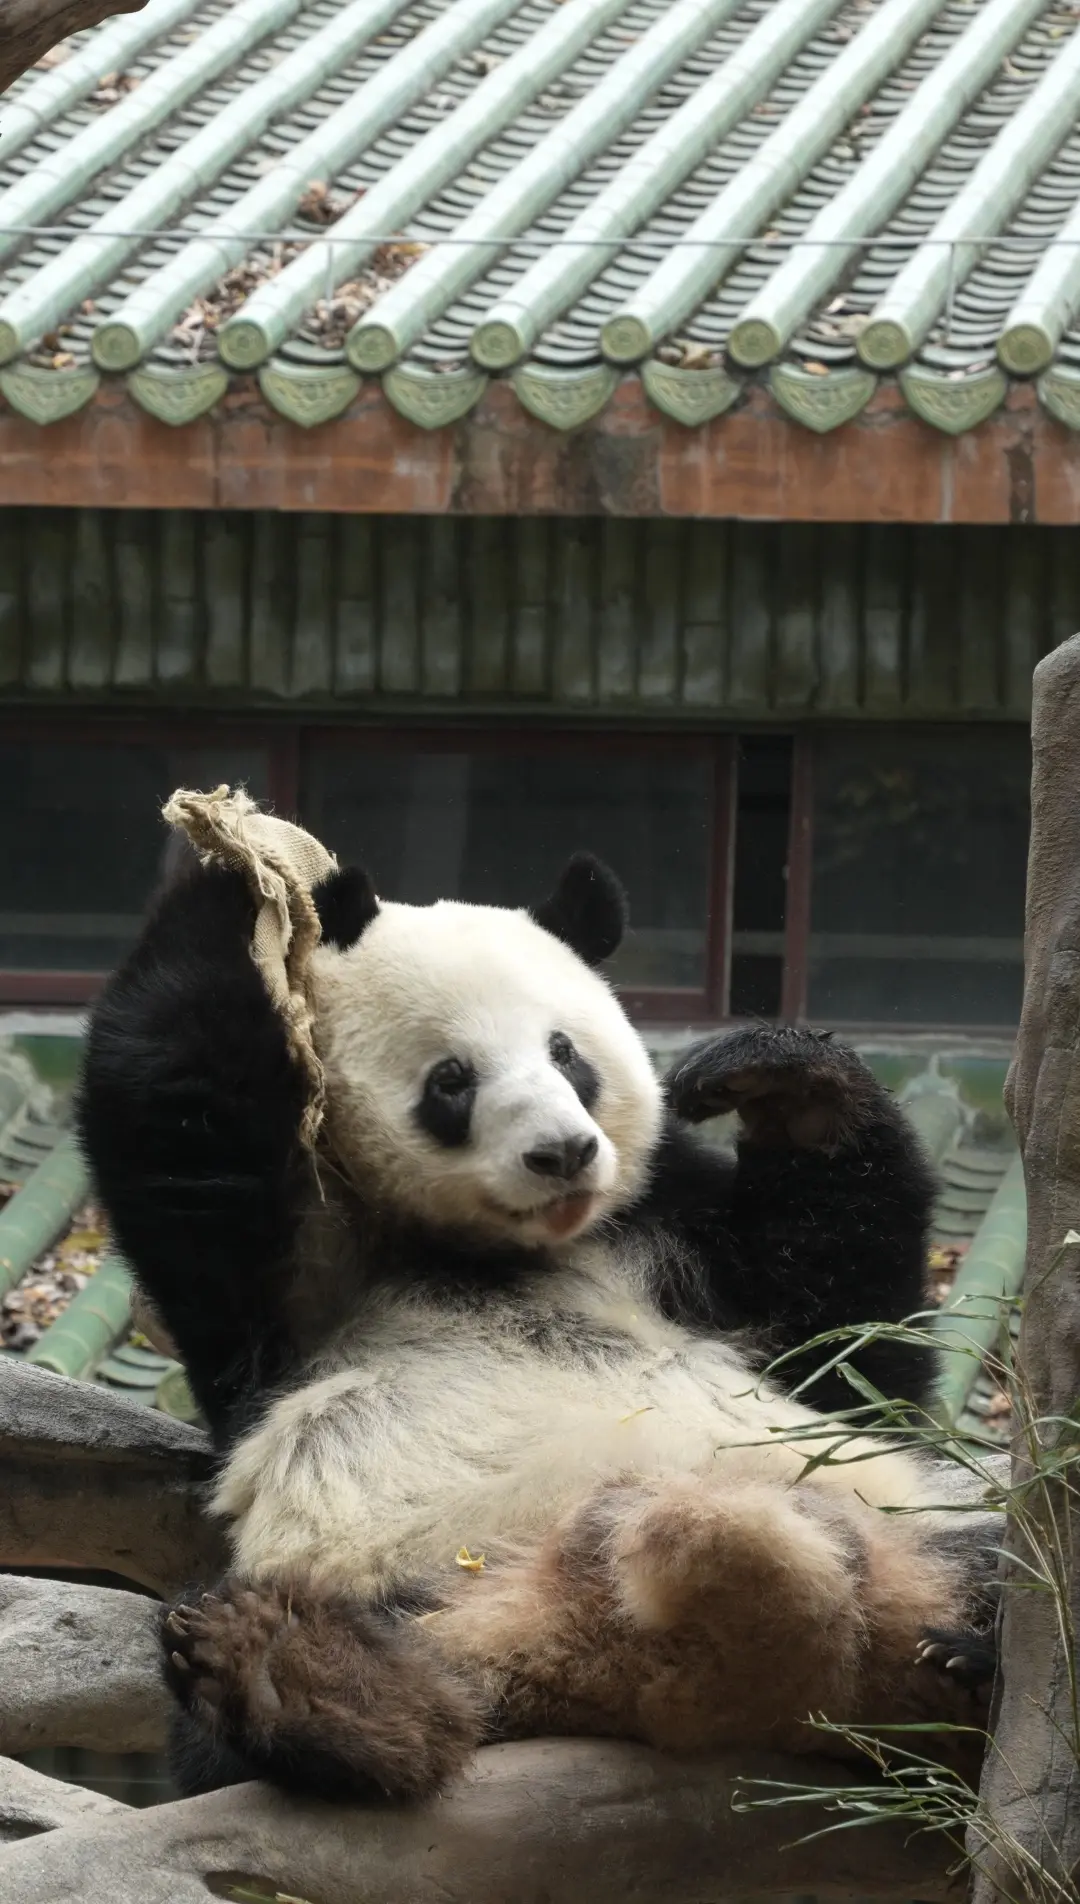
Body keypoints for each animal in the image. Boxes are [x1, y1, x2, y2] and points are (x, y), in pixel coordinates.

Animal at [77, 824, 1001, 1805]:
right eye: (453, 1079)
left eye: (567, 1055)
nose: (563, 1153)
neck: (499, 1252)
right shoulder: (292, 1278)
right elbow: (180, 1124)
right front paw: (236, 865)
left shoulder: (671, 1236)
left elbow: (849, 1347)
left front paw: (788, 1088)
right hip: (414, 1581)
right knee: (243, 1727)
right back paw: (296, 1677)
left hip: (900, 1521)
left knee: (1008, 1554)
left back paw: (974, 1653)